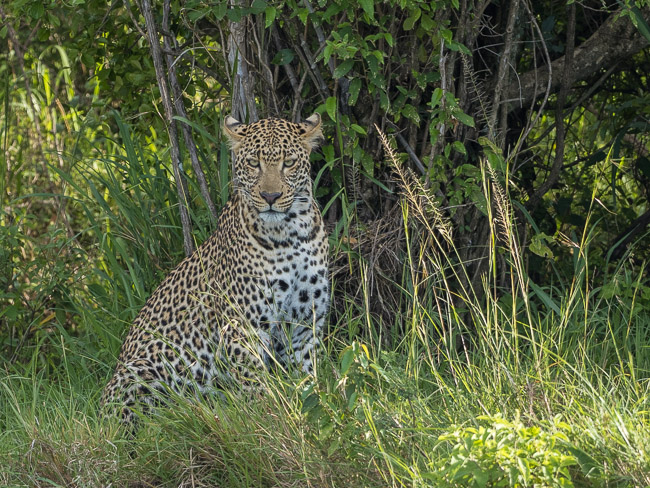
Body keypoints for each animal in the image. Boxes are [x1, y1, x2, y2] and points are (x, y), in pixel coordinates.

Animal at [102, 114, 329, 425]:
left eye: (289, 162)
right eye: (253, 163)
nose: (270, 196)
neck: (291, 234)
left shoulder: (305, 319)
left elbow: (305, 377)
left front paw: (311, 409)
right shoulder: (241, 325)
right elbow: (255, 383)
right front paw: (270, 419)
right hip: (140, 372)